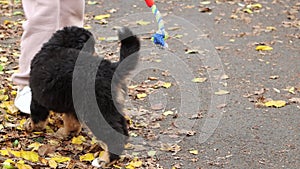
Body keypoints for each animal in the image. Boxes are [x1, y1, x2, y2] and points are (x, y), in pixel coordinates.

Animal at [25, 26, 140, 164]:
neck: (58, 45)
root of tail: (111, 69)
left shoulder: (37, 98)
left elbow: (37, 117)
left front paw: (31, 127)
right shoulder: (71, 104)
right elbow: (72, 123)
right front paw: (66, 133)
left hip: (97, 110)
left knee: (112, 136)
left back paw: (104, 160)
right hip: (112, 107)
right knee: (122, 129)